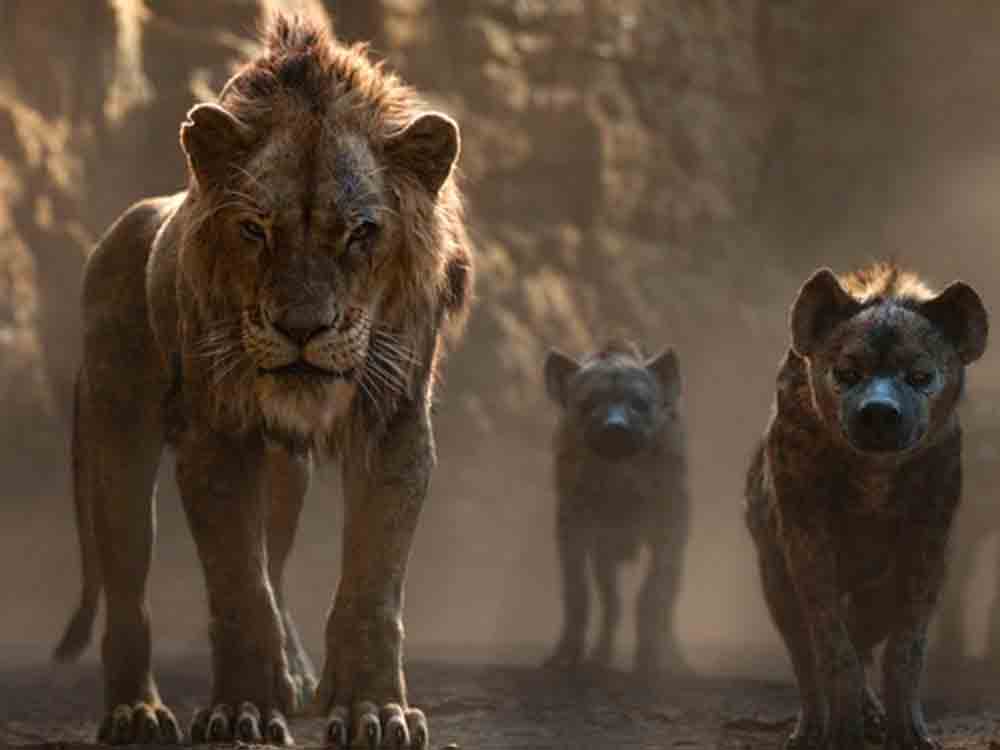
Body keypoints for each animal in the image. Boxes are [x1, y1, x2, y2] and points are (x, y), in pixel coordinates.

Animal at [51, 13, 472, 748]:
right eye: (254, 230)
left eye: (361, 233)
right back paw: (136, 712)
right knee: (129, 588)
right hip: (117, 438)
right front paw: (241, 712)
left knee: (274, 561)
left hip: (284, 474)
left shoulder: (394, 424)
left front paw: (372, 710)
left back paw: (296, 675)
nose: (302, 328)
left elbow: (370, 586)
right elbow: (239, 589)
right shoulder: (216, 436)